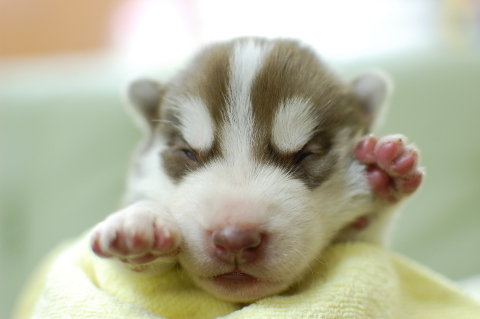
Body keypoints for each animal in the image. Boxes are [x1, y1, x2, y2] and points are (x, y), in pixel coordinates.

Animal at [89, 37, 420, 302]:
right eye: (188, 152)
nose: (235, 238)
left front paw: (382, 177)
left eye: (305, 154)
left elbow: (363, 243)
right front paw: (139, 223)